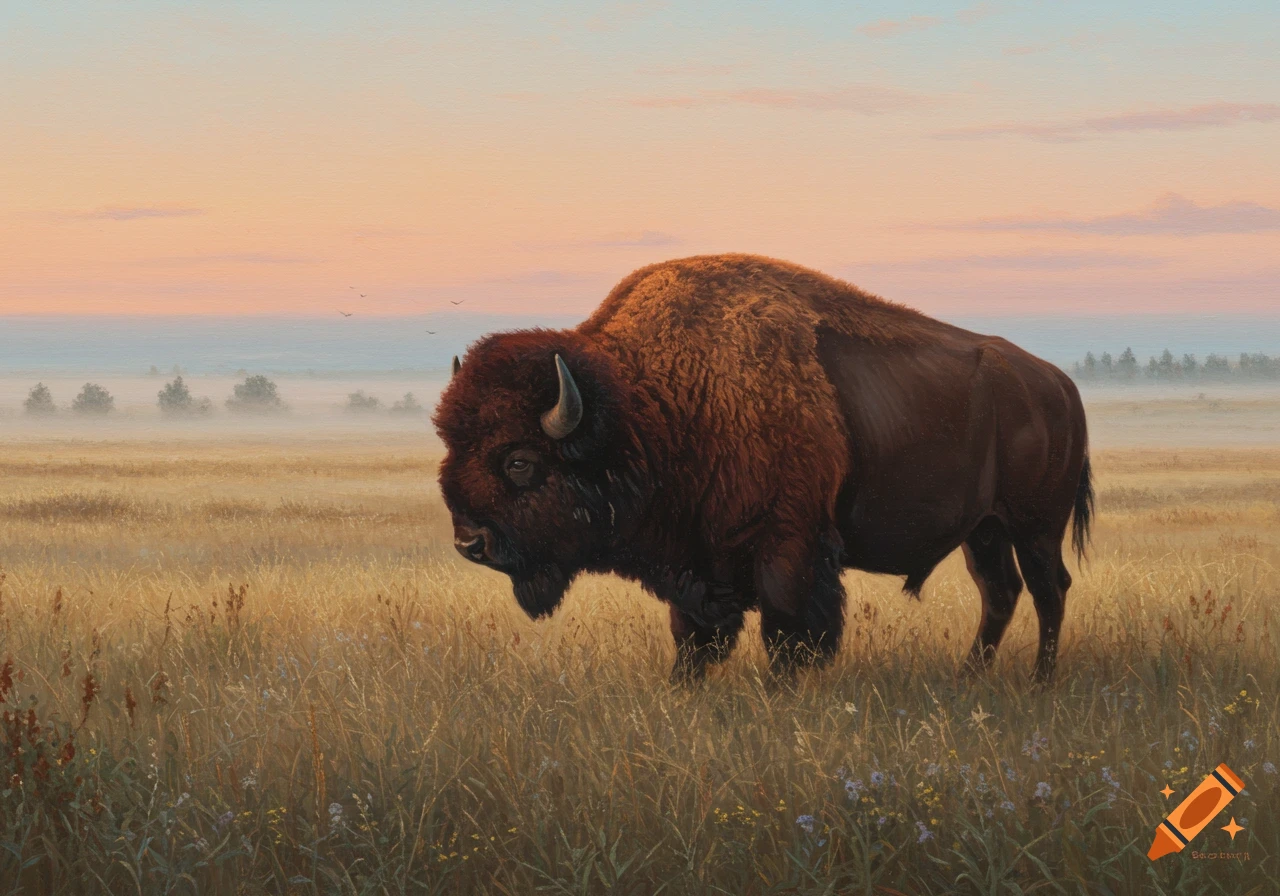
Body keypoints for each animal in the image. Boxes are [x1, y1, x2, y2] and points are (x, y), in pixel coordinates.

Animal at [434, 254, 1092, 682]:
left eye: (519, 461)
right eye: (449, 446)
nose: (470, 542)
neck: (650, 404)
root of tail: (1059, 385)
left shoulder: (788, 543)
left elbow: (787, 633)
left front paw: (784, 694)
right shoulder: (697, 563)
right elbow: (692, 639)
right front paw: (683, 693)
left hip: (1035, 526)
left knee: (1048, 589)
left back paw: (1040, 682)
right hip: (984, 530)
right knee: (1000, 592)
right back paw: (969, 677)